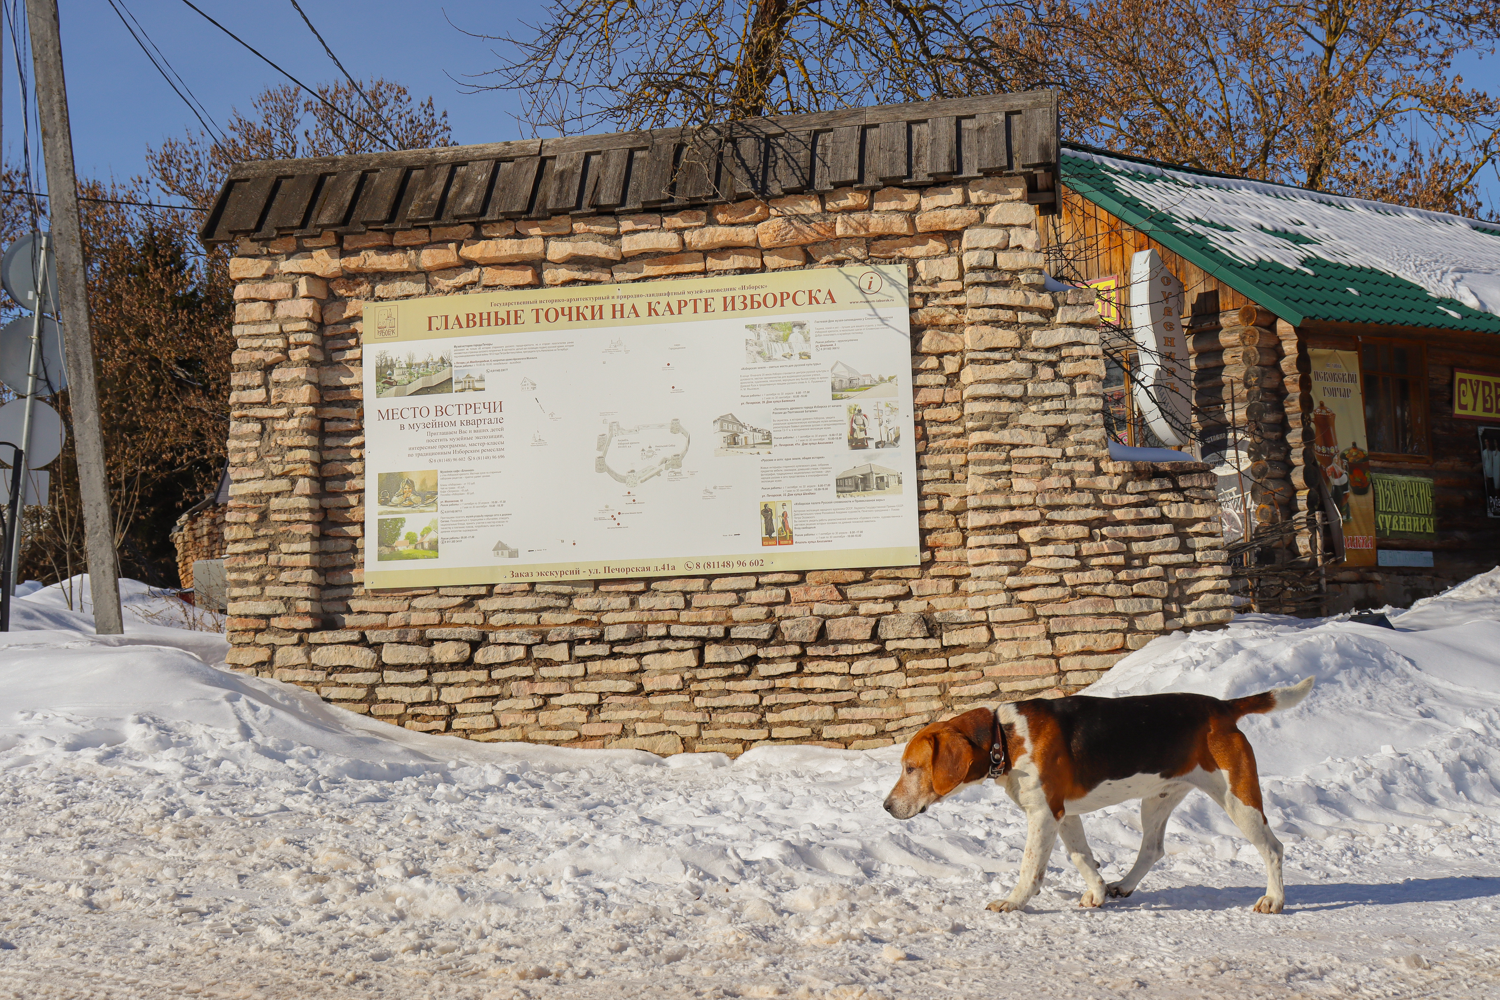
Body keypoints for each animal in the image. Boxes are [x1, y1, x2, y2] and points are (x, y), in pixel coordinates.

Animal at [876, 680, 1314, 917]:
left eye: (910, 768)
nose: (886, 807)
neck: (1005, 736)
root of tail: (1222, 707)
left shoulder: (1043, 815)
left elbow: (1030, 868)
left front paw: (1014, 902)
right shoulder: (1064, 815)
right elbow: (1081, 857)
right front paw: (1100, 891)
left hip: (1238, 799)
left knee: (1273, 848)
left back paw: (1274, 899)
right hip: (1157, 799)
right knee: (1152, 849)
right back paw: (1123, 885)